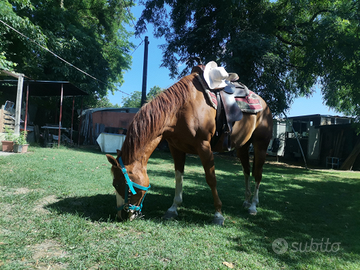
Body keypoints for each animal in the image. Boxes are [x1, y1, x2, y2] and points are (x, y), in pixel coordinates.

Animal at [107, 70, 272, 226]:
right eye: (114, 184)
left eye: (119, 184)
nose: (121, 215)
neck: (180, 108)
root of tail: (264, 104)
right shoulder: (176, 148)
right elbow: (178, 177)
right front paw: (173, 209)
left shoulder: (204, 146)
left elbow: (211, 179)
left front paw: (218, 215)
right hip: (242, 147)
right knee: (246, 171)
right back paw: (246, 201)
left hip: (260, 145)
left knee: (258, 174)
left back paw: (253, 206)